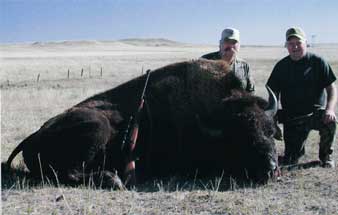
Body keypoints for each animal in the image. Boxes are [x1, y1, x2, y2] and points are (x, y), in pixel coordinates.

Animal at [6, 58, 278, 188]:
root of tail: (34, 135)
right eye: (241, 136)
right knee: (70, 173)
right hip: (96, 127)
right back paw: (113, 180)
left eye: (270, 131)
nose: (271, 168)